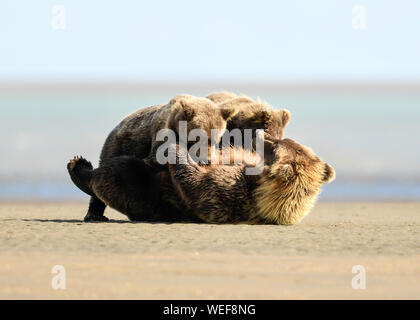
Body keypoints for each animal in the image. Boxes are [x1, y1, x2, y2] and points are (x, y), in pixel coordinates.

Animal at [79, 94, 236, 221]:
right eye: (199, 138)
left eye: (216, 139)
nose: (206, 160)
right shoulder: (161, 132)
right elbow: (154, 159)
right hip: (116, 145)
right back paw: (94, 215)